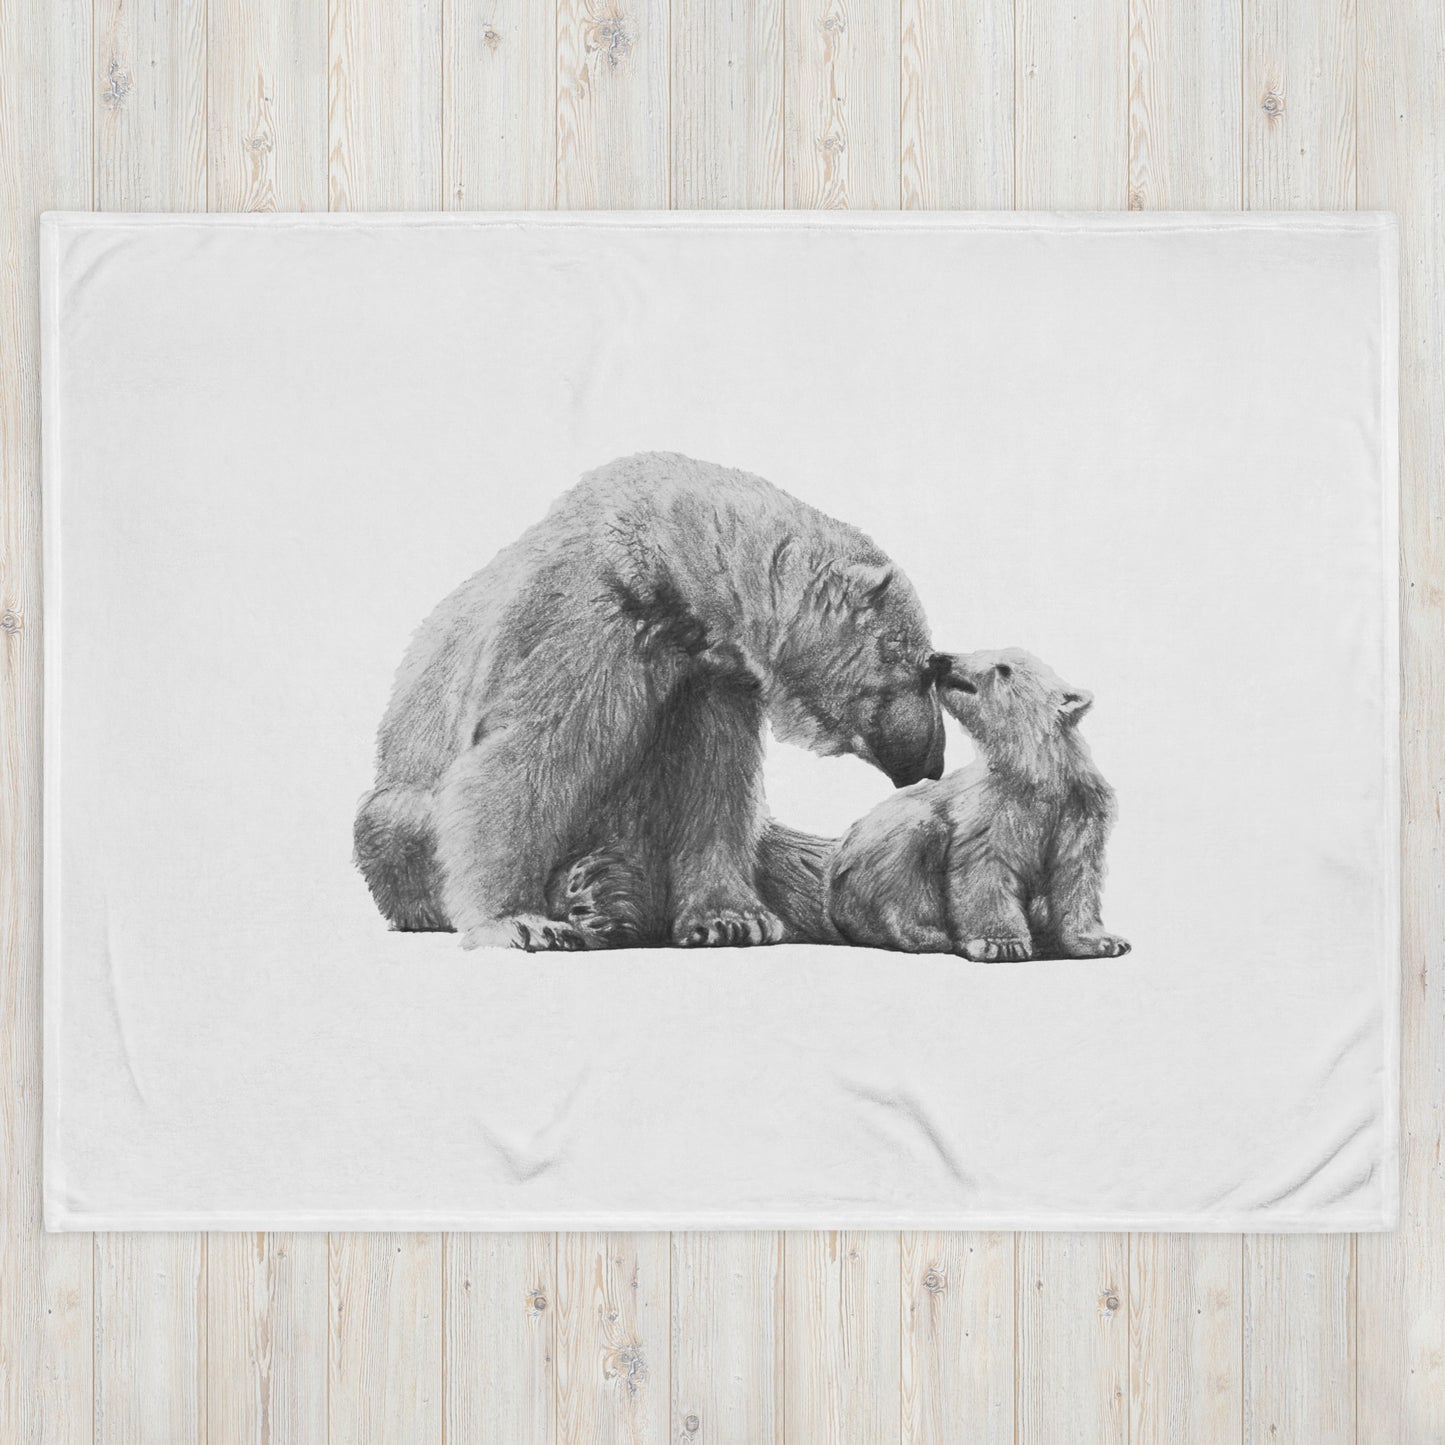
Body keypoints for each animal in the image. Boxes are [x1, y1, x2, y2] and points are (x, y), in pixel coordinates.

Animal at [354, 452, 948, 951]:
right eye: (923, 666)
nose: (933, 762)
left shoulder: (709, 678)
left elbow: (714, 786)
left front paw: (731, 919)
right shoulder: (586, 618)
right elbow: (526, 758)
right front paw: (519, 921)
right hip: (399, 815)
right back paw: (589, 896)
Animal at [825, 647, 1129, 960]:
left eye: (1003, 668)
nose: (941, 659)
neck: (1037, 774)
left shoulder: (1079, 807)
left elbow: (1076, 872)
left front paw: (1104, 941)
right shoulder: (991, 808)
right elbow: (984, 864)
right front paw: (1002, 942)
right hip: (872, 854)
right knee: (912, 845)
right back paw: (925, 934)